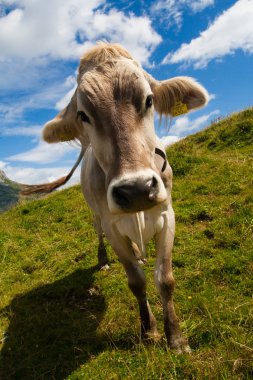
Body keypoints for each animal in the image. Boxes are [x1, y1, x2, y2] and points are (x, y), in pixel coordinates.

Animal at [23, 43, 209, 352]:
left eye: (148, 99)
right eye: (83, 115)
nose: (136, 189)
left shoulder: (167, 215)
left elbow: (165, 279)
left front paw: (176, 337)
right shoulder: (113, 227)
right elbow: (136, 282)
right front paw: (149, 330)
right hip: (97, 216)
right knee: (98, 233)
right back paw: (103, 259)